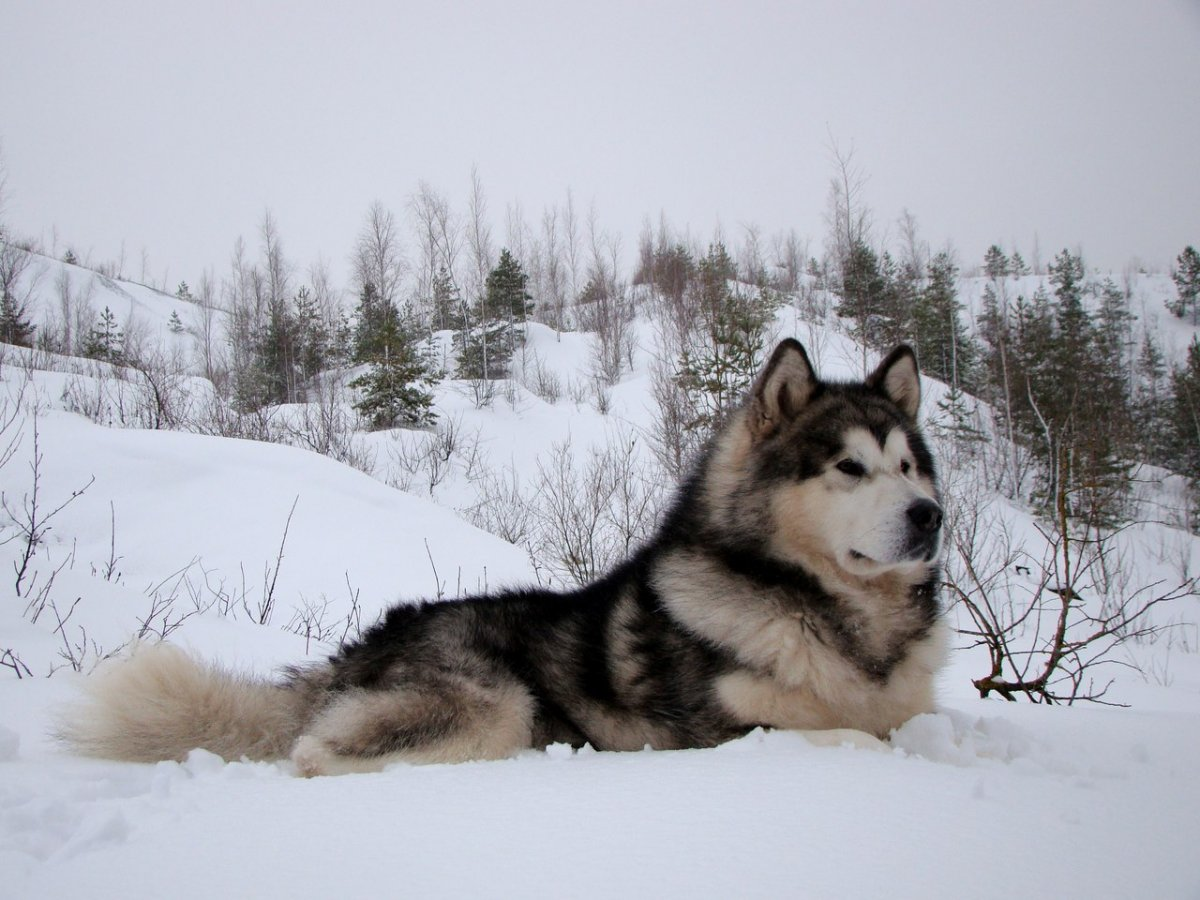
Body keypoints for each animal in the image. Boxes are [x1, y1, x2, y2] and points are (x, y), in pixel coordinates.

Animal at [60, 340, 945, 777]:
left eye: (909, 465)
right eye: (848, 467)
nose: (931, 516)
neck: (831, 617)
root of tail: (362, 646)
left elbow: (904, 726)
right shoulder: (729, 734)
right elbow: (864, 741)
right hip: (496, 703)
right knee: (313, 756)